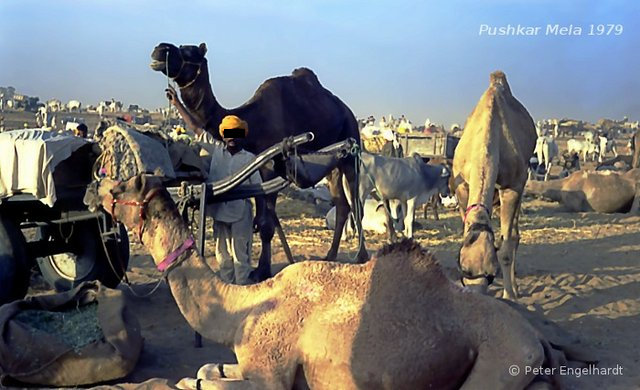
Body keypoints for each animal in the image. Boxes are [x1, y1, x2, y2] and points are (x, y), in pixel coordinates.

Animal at [81, 176, 564, 390]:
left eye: (119, 186)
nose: (89, 190)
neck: (241, 310)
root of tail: (536, 339)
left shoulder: (272, 376)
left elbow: (201, 382)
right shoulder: (253, 361)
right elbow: (204, 370)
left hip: (499, 363)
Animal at [150, 42, 368, 280]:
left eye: (189, 50)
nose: (160, 49)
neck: (252, 122)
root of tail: (348, 111)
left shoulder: (270, 165)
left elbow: (266, 224)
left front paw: (262, 270)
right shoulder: (259, 166)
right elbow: (265, 218)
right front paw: (261, 267)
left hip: (350, 145)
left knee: (355, 202)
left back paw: (361, 257)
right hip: (332, 162)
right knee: (342, 203)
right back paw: (330, 255)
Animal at [452, 71, 536, 300]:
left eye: (491, 274)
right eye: (464, 269)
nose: (475, 294)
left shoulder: (513, 186)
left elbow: (506, 248)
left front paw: (509, 296)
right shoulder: (461, 188)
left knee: (514, 235)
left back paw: (515, 288)